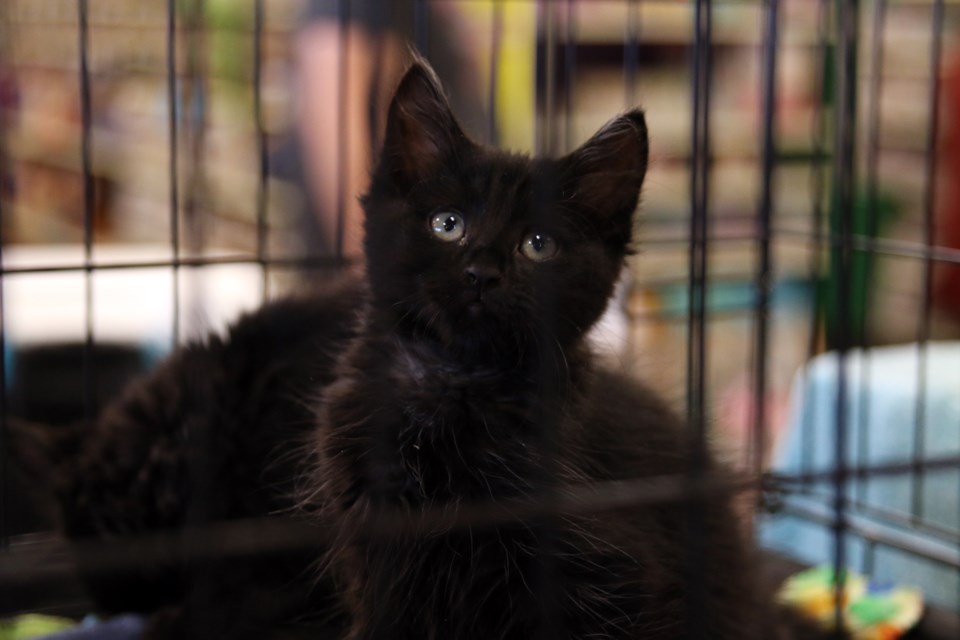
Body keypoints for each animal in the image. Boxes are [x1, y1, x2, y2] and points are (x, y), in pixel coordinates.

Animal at [39, 61, 796, 640]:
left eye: (538, 245)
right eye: (447, 224)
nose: (482, 272)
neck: (448, 388)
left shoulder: (614, 575)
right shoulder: (378, 561)